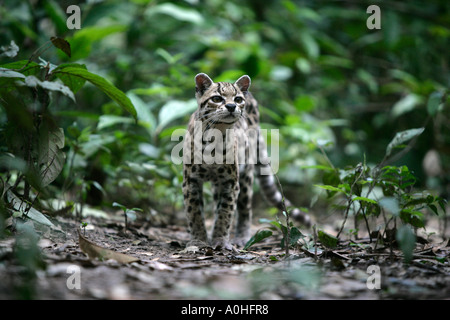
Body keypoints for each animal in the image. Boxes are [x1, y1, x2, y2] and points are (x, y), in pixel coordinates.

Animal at [183, 73, 310, 250]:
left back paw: (241, 237)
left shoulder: (230, 181)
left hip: (245, 175)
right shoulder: (191, 180)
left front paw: (220, 240)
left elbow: (226, 212)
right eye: (217, 98)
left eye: (237, 99)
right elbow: (194, 212)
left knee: (245, 209)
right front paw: (198, 240)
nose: (231, 106)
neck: (215, 135)